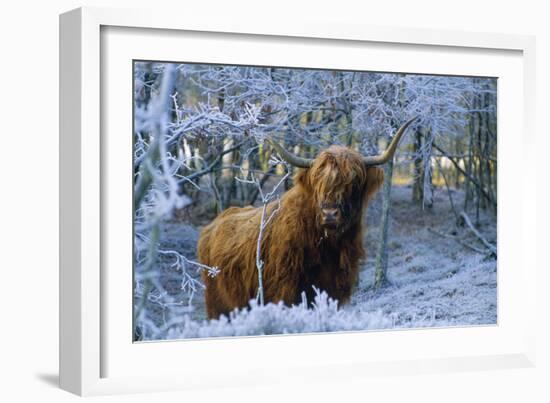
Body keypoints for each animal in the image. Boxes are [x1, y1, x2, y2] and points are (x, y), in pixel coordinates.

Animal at [198, 118, 418, 320]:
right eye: (317, 181)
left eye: (354, 182)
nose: (330, 214)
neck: (327, 247)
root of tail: (212, 225)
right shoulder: (285, 291)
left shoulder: (335, 290)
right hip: (218, 306)